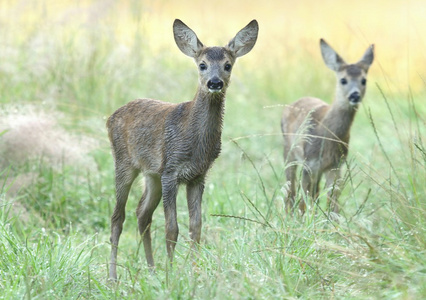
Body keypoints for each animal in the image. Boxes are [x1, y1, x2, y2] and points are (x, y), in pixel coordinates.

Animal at [107, 19, 260, 282]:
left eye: (227, 65)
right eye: (202, 64)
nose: (215, 83)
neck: (194, 141)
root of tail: (109, 118)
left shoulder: (197, 176)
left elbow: (195, 227)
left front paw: (194, 272)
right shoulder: (171, 172)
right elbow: (172, 229)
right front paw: (171, 275)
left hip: (152, 174)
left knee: (142, 213)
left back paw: (151, 270)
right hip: (125, 162)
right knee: (118, 217)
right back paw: (113, 278)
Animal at [282, 38, 374, 216]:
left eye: (364, 80)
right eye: (343, 80)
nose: (354, 95)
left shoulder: (336, 165)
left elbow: (333, 202)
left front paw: (331, 222)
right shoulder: (309, 163)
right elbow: (305, 200)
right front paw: (304, 220)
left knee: (314, 193)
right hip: (289, 152)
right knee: (291, 189)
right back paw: (289, 215)